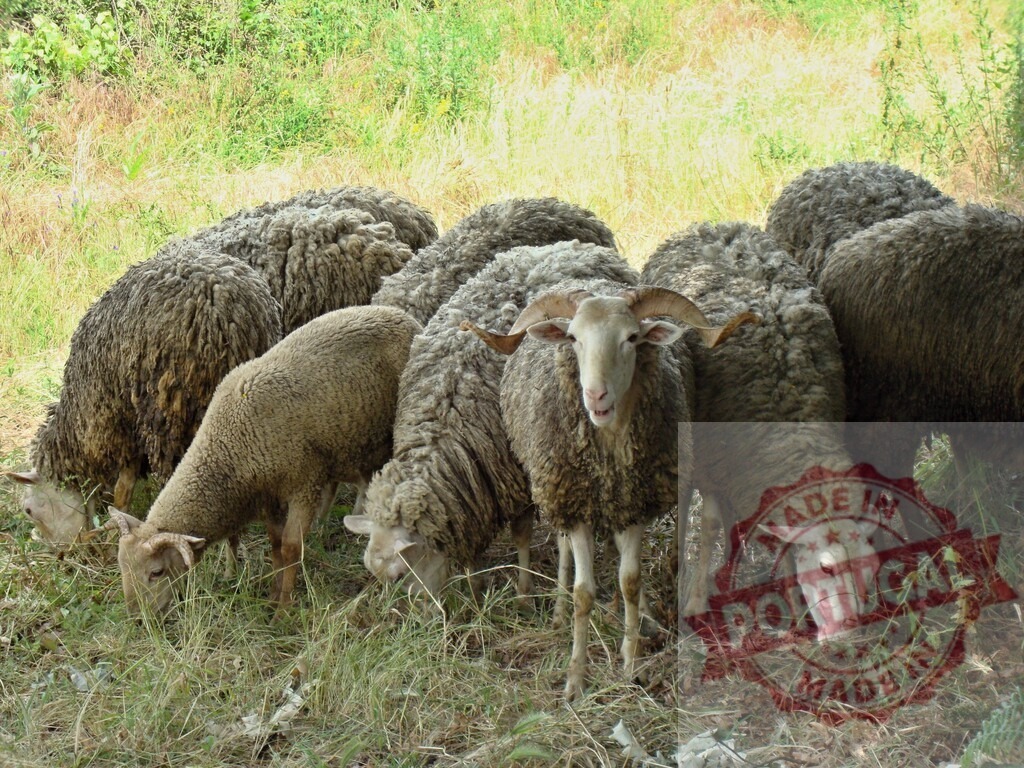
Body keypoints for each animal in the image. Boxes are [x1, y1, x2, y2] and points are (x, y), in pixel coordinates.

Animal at [5, 241, 282, 545]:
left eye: (29, 510)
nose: (65, 553)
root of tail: (225, 308)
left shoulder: (119, 426)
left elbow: (123, 489)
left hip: (169, 412)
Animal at [108, 304, 421, 616]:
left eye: (156, 572)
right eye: (122, 568)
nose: (138, 619)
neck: (230, 449)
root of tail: (401, 315)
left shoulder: (303, 485)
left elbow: (291, 547)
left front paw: (283, 609)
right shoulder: (269, 499)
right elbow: (275, 546)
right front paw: (272, 595)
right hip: (354, 439)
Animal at [344, 240, 637, 605]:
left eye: (399, 574)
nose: (423, 612)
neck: (442, 421)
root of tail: (576, 247)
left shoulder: (516, 473)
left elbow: (522, 535)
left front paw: (524, 592)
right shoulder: (475, 489)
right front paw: (474, 585)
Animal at [465, 281, 753, 700]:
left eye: (632, 338)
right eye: (573, 338)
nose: (595, 396)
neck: (608, 461)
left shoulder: (633, 506)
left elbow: (630, 581)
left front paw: (631, 662)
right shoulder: (577, 508)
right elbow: (583, 592)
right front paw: (575, 677)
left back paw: (645, 618)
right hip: (558, 494)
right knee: (564, 550)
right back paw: (558, 612)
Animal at [641, 222, 880, 638]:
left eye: (869, 565)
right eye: (826, 566)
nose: (849, 632)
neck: (794, 419)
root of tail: (712, 225)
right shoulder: (712, 460)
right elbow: (708, 524)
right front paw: (696, 601)